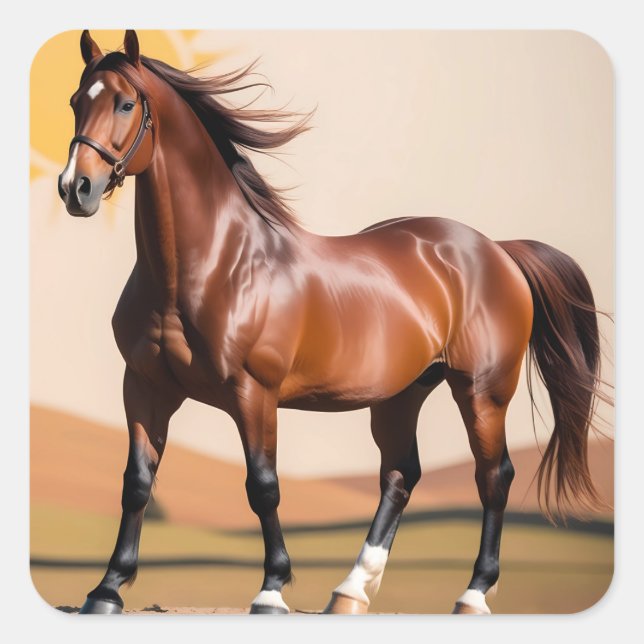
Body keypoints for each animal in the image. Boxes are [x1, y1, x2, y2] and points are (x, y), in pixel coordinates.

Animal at [57, 30, 610, 615]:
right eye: (75, 102)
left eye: (125, 103)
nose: (76, 189)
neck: (213, 264)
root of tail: (497, 250)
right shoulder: (144, 387)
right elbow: (137, 482)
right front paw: (106, 589)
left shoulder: (253, 393)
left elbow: (263, 486)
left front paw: (272, 590)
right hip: (402, 394)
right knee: (401, 475)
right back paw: (348, 592)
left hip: (482, 391)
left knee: (493, 476)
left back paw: (473, 594)